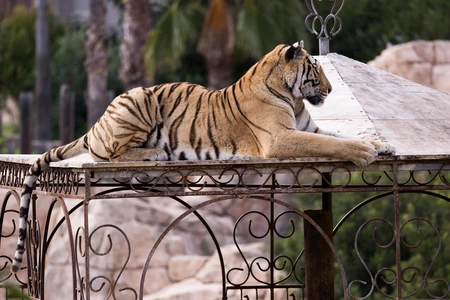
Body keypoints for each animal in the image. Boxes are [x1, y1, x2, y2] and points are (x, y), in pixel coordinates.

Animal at [10, 41, 396, 274]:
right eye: (316, 70)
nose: (329, 90)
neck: (293, 96)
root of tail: (97, 122)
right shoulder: (281, 139)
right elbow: (334, 145)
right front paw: (365, 152)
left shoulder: (308, 129)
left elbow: (341, 137)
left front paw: (382, 146)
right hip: (138, 101)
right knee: (106, 154)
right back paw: (156, 154)